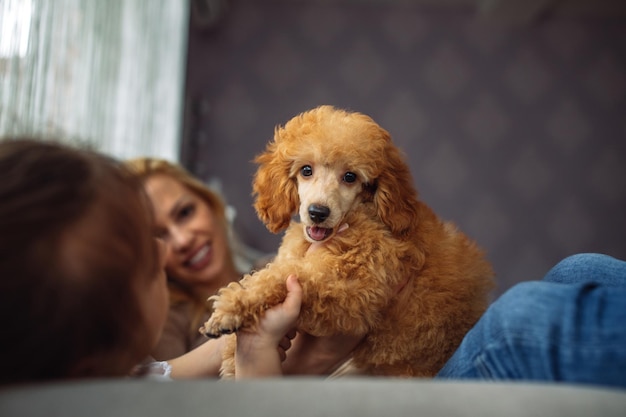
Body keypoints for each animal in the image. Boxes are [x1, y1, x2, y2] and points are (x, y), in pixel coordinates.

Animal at [200, 105, 492, 376]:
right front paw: (233, 355)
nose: (318, 213)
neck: (355, 217)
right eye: (306, 170)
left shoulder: (354, 290)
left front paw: (232, 307)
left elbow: (287, 275)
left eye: (350, 177)